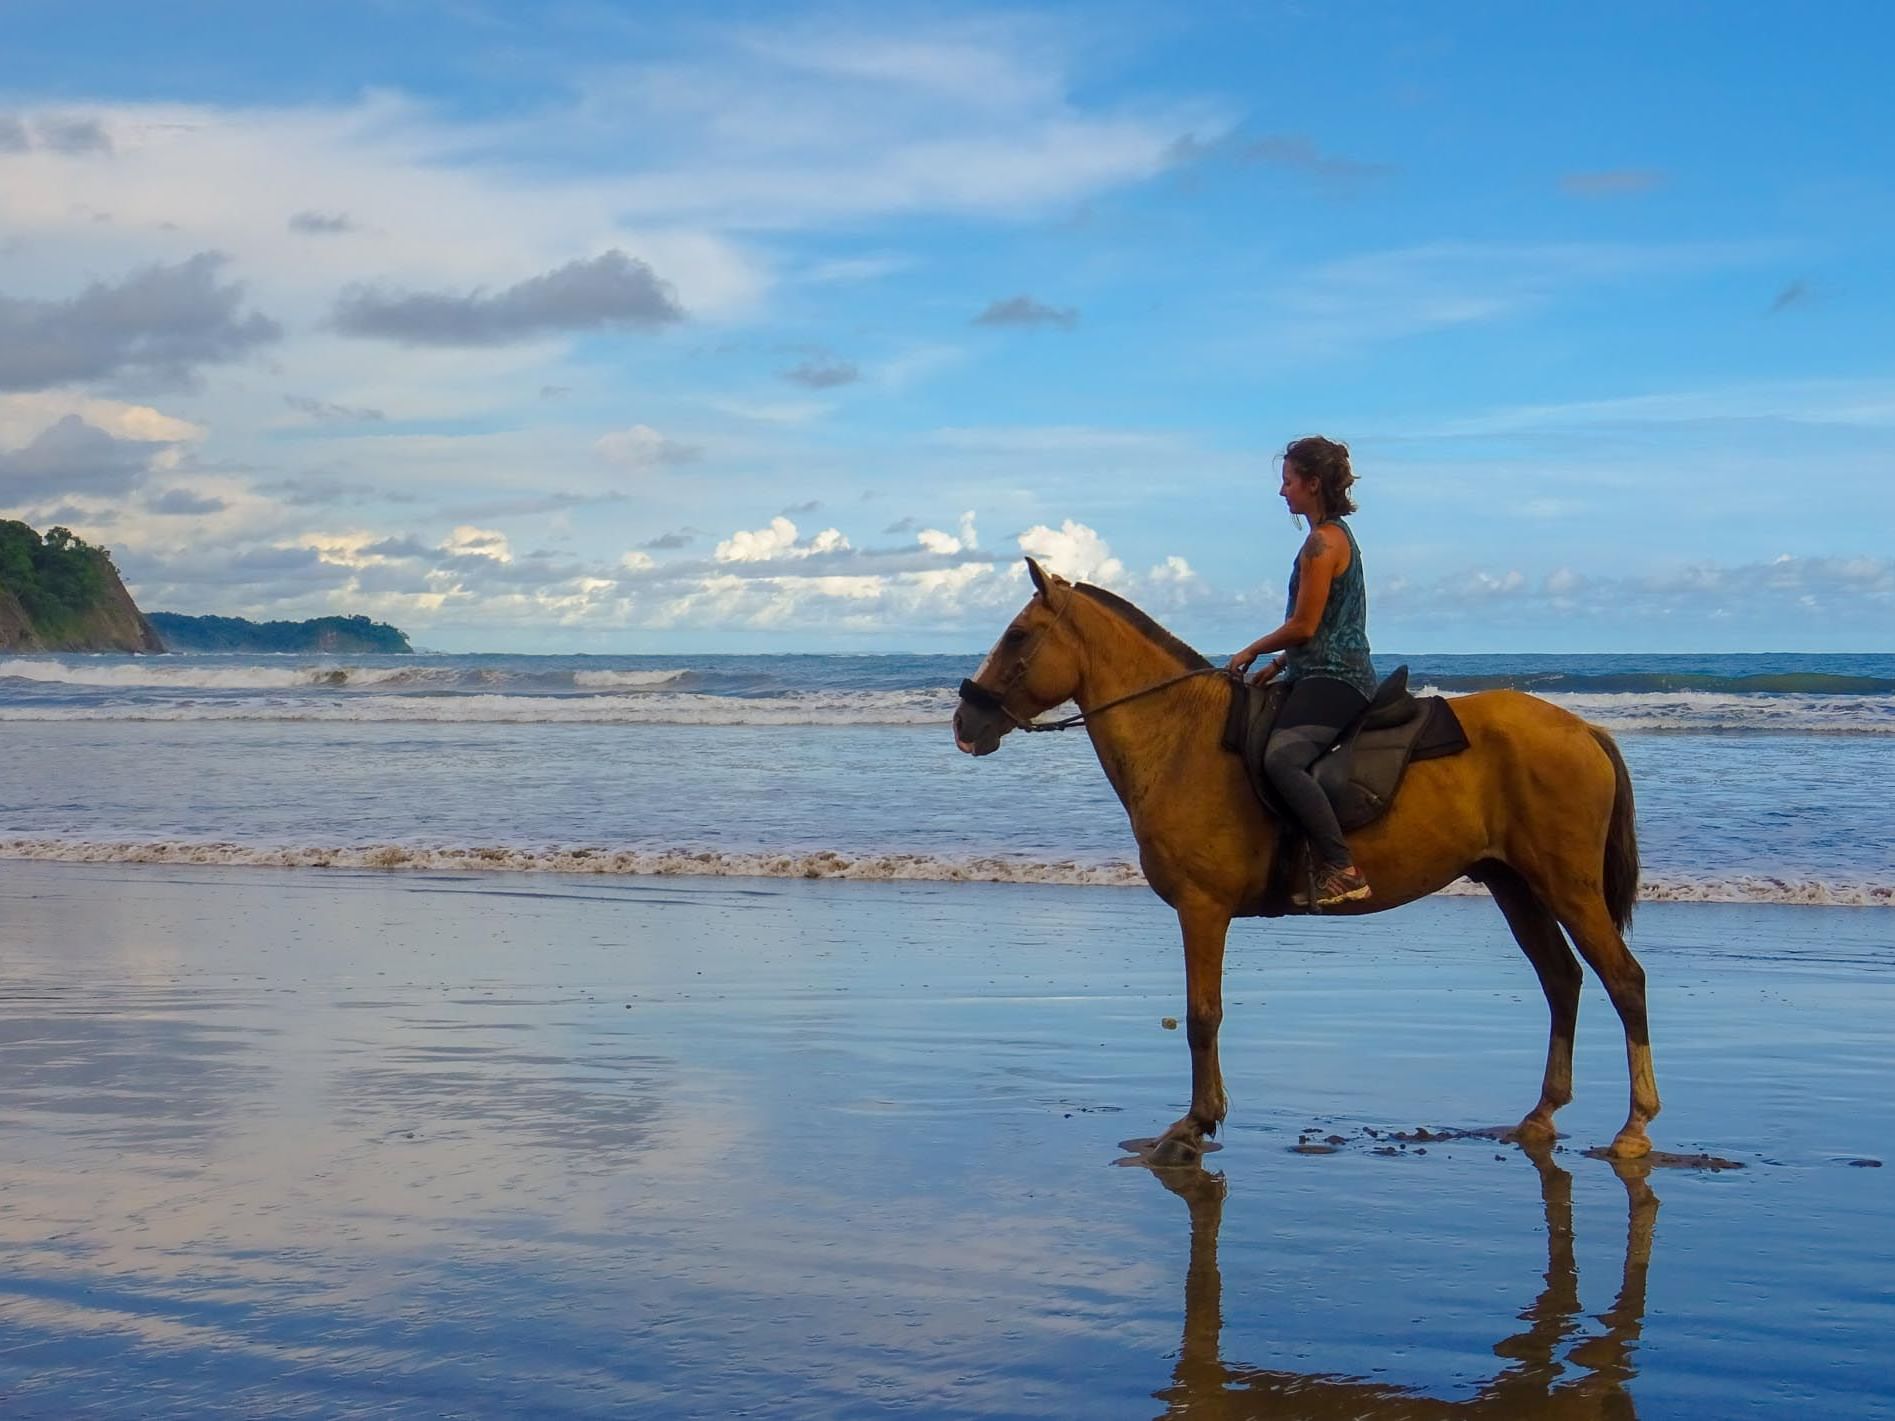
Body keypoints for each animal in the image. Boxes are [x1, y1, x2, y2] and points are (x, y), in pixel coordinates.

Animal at [955, 560, 1652, 1174]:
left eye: (1017, 636)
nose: (965, 721)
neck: (1180, 737)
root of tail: (1584, 730)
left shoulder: (1202, 907)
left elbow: (1202, 1016)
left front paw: (1193, 1125)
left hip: (1565, 886)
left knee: (1624, 981)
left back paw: (1634, 1127)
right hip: (1516, 885)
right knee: (1562, 979)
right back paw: (1542, 1116)